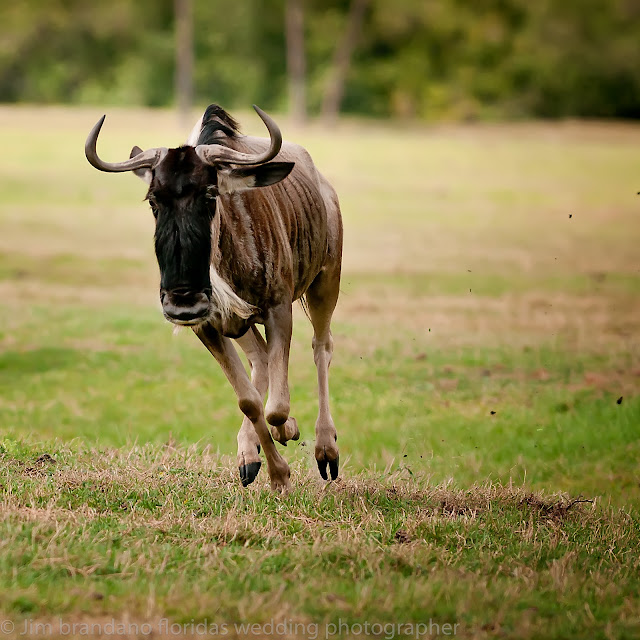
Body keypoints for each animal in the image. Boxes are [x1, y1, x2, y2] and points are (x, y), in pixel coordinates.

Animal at [85, 104, 342, 492]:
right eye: (153, 200)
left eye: (210, 194)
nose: (182, 302)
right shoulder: (207, 325)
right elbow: (250, 401)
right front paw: (276, 472)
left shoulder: (279, 308)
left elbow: (277, 406)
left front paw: (287, 435)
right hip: (242, 323)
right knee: (261, 360)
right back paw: (251, 451)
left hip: (326, 279)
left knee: (321, 347)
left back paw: (326, 448)